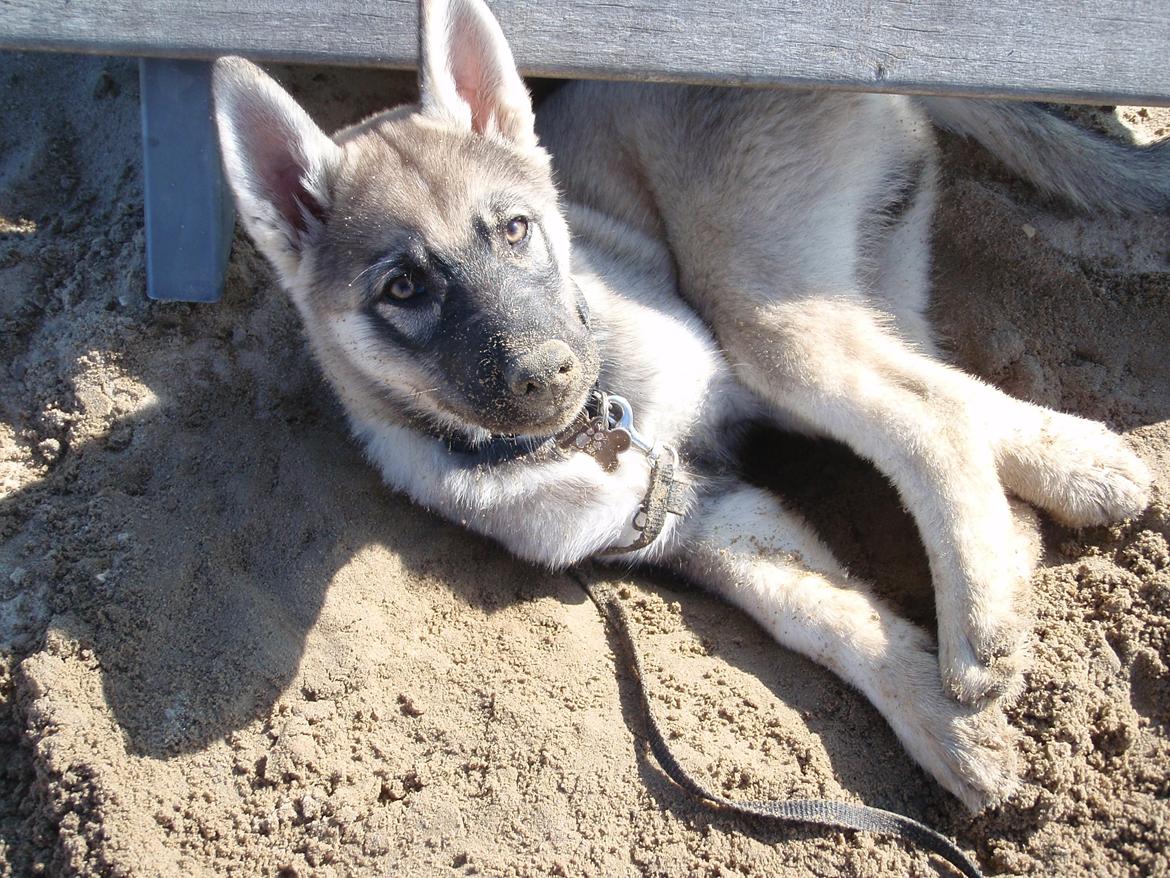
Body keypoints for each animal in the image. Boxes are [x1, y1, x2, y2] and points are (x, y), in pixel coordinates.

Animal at [211, 0, 1161, 811]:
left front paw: (953, 705)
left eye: (515, 229)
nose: (548, 374)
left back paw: (986, 621)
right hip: (843, 280)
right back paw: (1069, 490)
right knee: (943, 387)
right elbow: (824, 616)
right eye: (402, 288)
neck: (589, 435)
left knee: (925, 408)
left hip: (751, 300)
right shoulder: (696, 516)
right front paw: (944, 727)